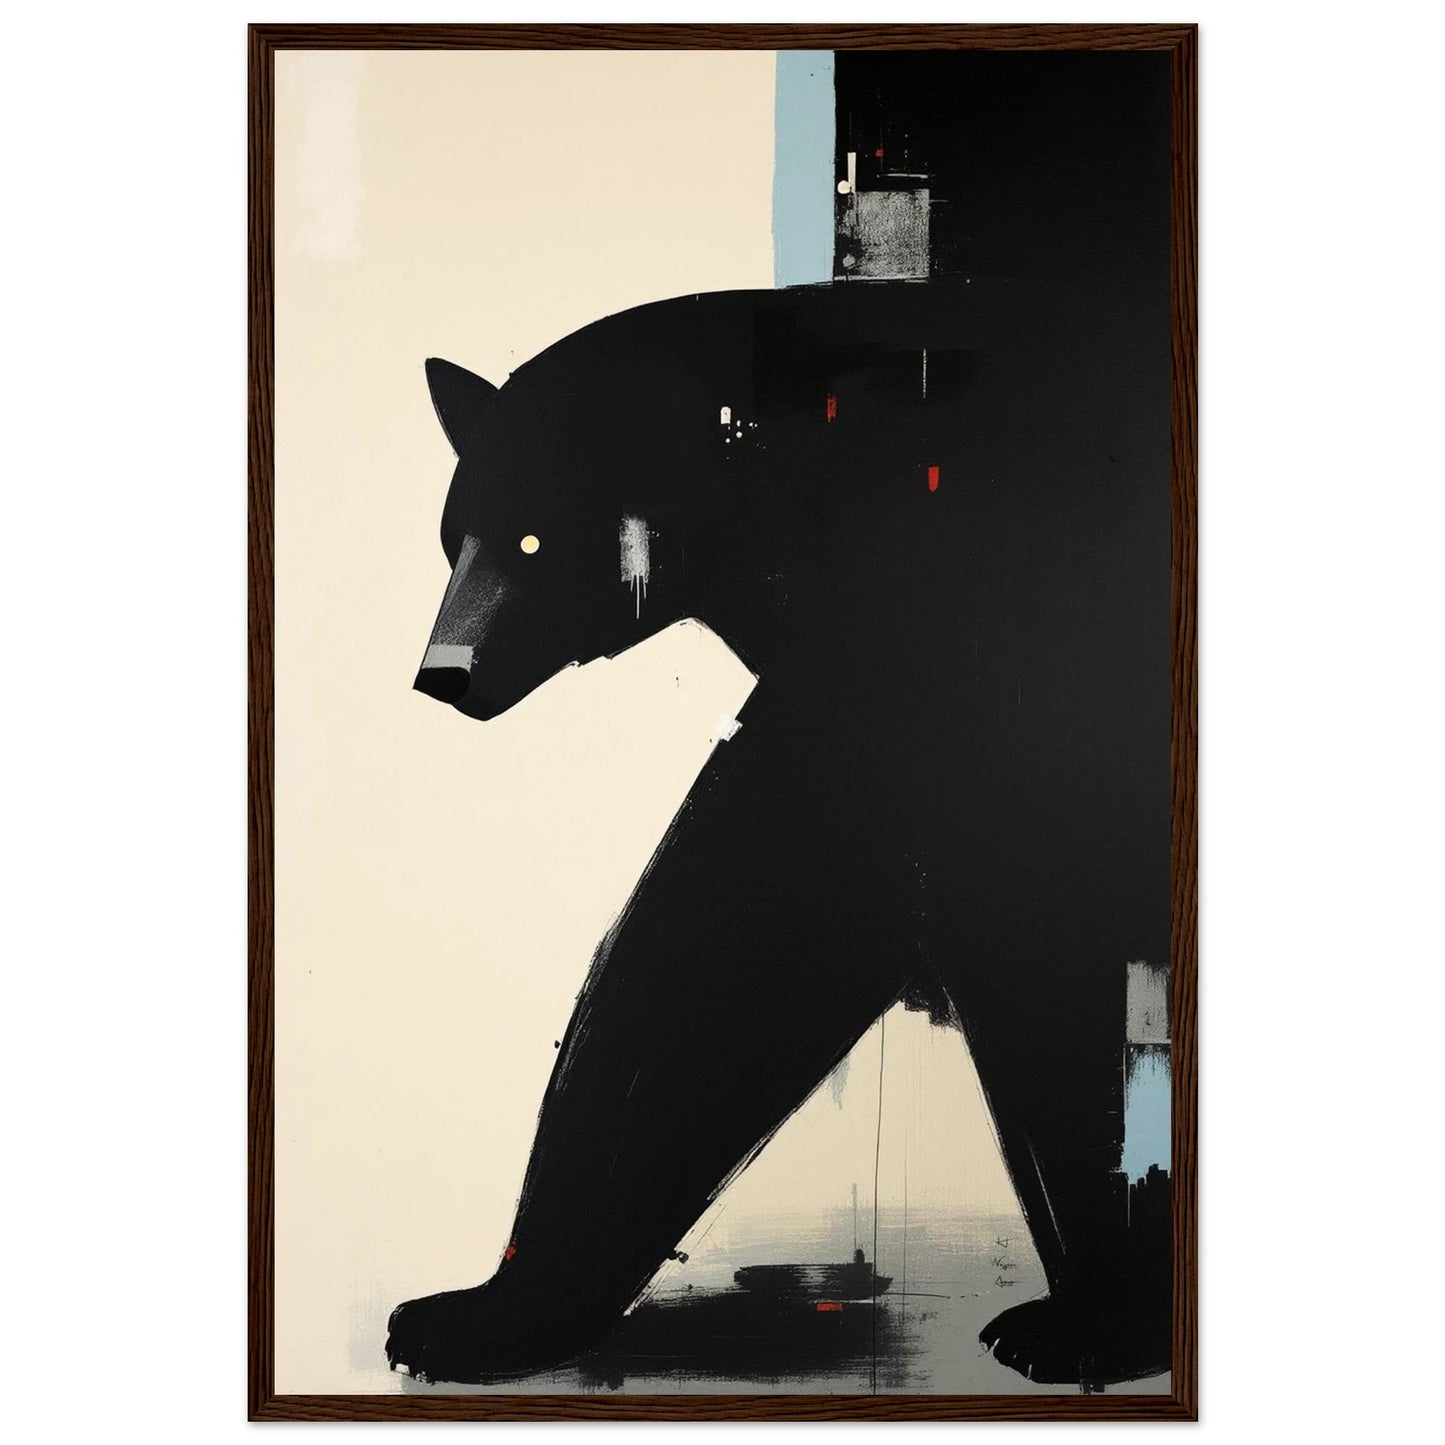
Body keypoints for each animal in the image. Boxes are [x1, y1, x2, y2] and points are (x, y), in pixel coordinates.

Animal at [385, 274, 1173, 1389]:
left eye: (533, 537)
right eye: (455, 536)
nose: (443, 672)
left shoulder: (967, 661)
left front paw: (1098, 1317)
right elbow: (724, 955)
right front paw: (483, 1310)